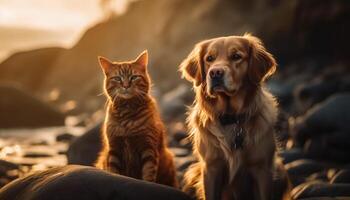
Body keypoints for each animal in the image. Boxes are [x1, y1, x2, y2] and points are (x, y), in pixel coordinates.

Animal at [95, 50, 178, 188]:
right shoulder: (114, 150)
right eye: (117, 78)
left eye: (134, 77)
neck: (127, 113)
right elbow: (114, 171)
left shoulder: (148, 148)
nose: (126, 85)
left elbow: (148, 173)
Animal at [180, 33, 288, 199]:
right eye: (209, 58)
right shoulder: (211, 168)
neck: (231, 118)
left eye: (236, 56)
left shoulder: (262, 169)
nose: (215, 73)